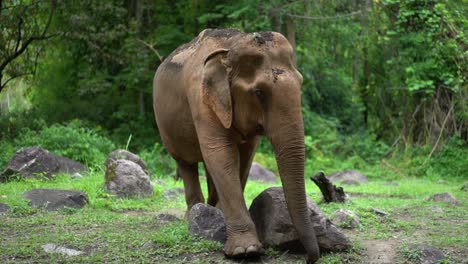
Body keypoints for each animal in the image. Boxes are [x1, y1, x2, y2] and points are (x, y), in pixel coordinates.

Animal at [155, 27, 320, 262]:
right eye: (259, 93)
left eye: (300, 85)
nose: (308, 257)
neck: (231, 45)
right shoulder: (201, 100)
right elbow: (222, 154)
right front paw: (246, 251)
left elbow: (245, 156)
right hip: (166, 127)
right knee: (185, 163)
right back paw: (193, 214)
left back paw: (212, 210)